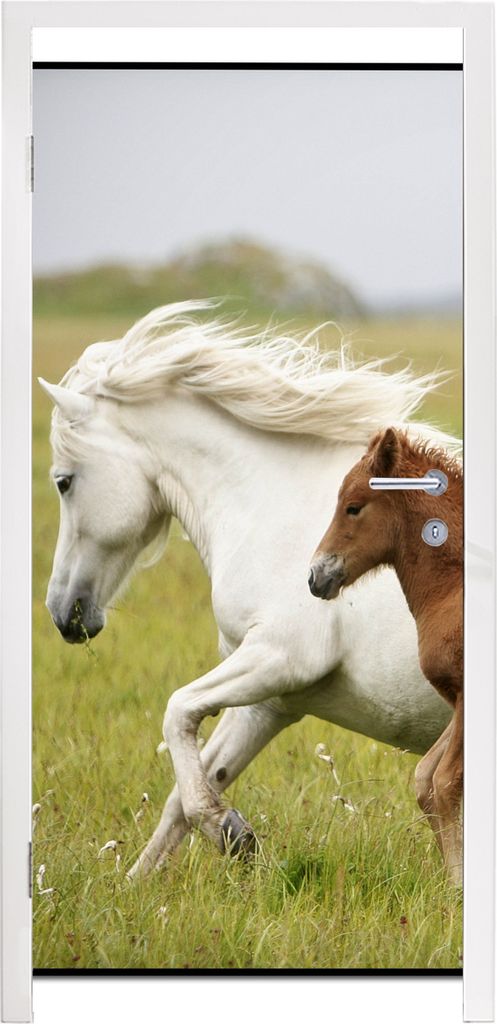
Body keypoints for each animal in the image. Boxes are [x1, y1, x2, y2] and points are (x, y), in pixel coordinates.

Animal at [309, 427, 463, 883]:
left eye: (353, 507)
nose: (315, 577)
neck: (453, 586)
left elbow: (446, 782)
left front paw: (459, 883)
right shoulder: (456, 699)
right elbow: (425, 779)